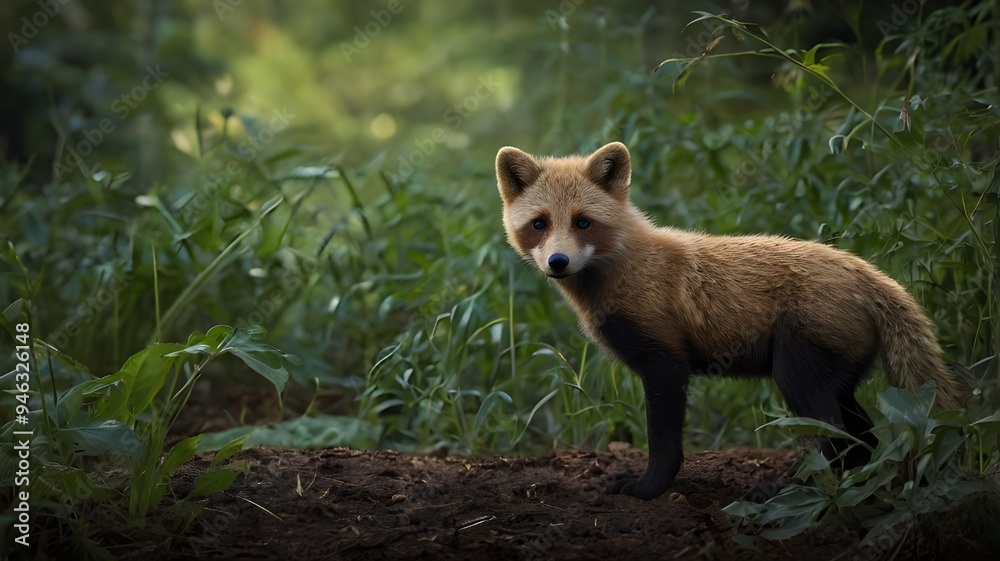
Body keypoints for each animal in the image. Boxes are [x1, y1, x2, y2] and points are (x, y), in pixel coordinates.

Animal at [495, 141, 966, 500]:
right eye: (539, 224)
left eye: (583, 223)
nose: (558, 262)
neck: (630, 270)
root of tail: (868, 273)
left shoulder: (666, 364)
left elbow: (664, 445)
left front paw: (647, 489)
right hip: (837, 384)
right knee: (863, 444)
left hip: (797, 379)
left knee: (835, 442)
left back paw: (796, 493)